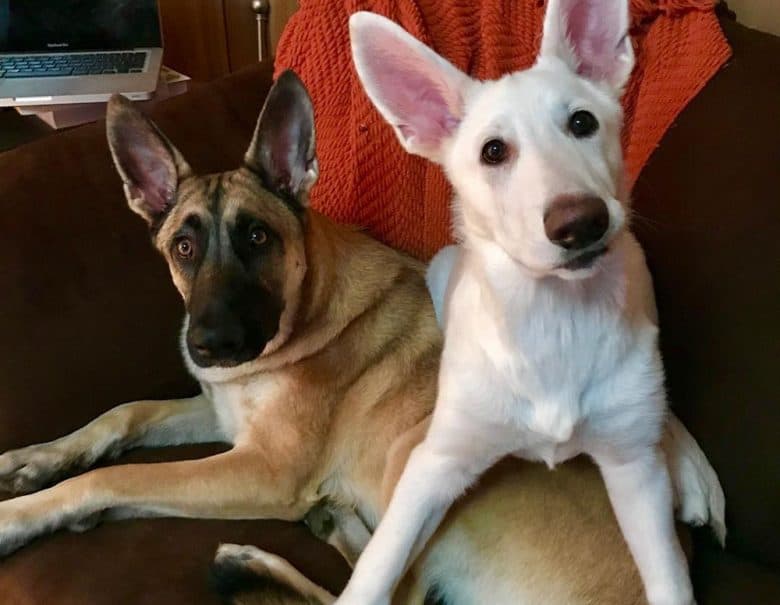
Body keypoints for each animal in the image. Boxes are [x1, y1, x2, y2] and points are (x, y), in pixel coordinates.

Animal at [0, 72, 724, 604]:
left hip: (422, 458)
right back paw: (327, 522)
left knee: (382, 593)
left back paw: (250, 559)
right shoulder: (222, 412)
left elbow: (117, 477)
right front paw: (35, 460)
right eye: (184, 246)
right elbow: (125, 413)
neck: (308, 301)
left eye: (257, 236)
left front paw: (29, 513)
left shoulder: (264, 467)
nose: (209, 344)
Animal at [342, 3, 712, 604]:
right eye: (493, 151)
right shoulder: (437, 461)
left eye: (582, 122)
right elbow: (378, 564)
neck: (554, 316)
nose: (580, 223)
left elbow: (670, 580)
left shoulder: (636, 475)